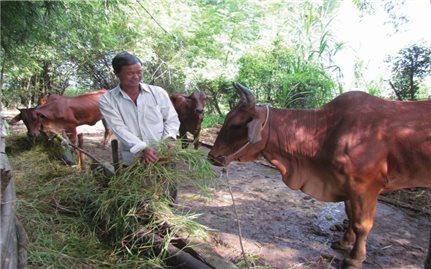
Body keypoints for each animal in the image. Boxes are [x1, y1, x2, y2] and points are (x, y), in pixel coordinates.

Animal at [209, 82, 431, 268]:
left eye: (236, 124)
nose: (212, 156)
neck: (329, 130)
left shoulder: (365, 186)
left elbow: (362, 224)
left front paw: (354, 258)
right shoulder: (347, 185)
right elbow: (350, 214)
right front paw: (344, 241)